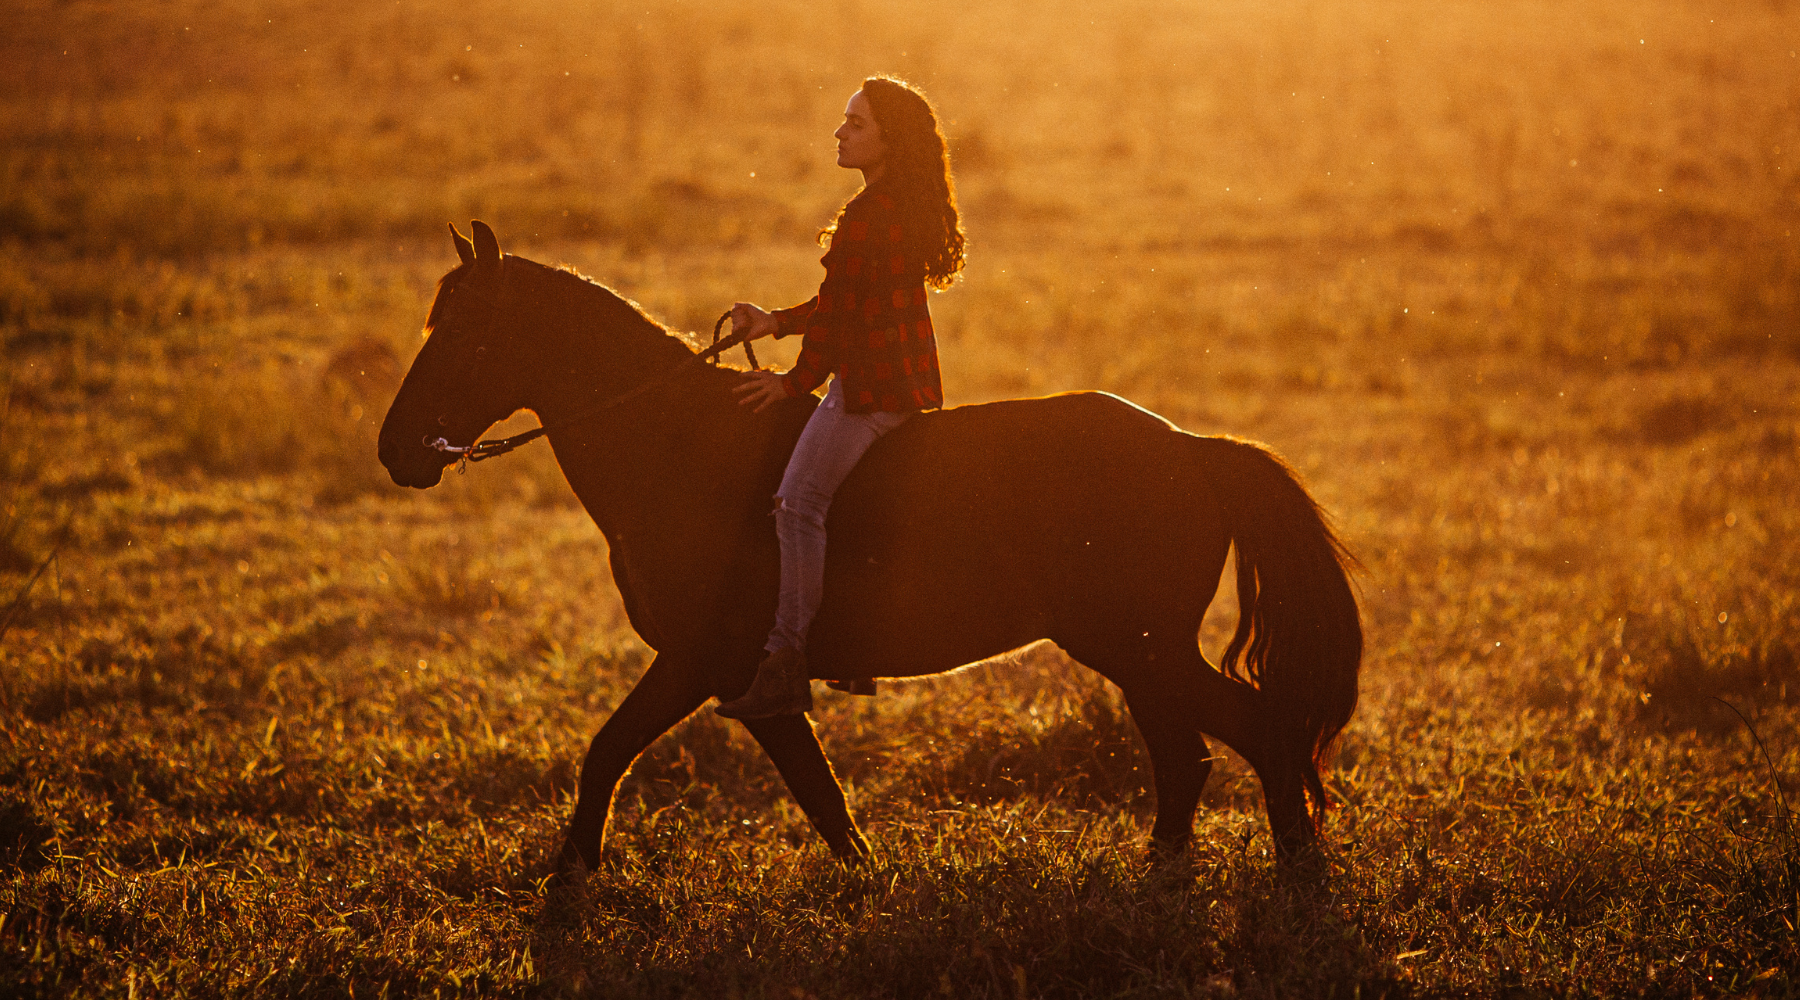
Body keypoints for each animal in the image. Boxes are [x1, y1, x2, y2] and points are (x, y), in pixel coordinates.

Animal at [379, 223, 1360, 870]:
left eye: (463, 331)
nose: (395, 450)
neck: (680, 448)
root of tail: (1193, 449)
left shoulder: (709, 663)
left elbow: (631, 756)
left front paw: (570, 882)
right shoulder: (729, 678)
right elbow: (804, 796)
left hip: (1139, 646)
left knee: (1256, 734)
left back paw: (1293, 880)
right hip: (1138, 653)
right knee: (1189, 756)